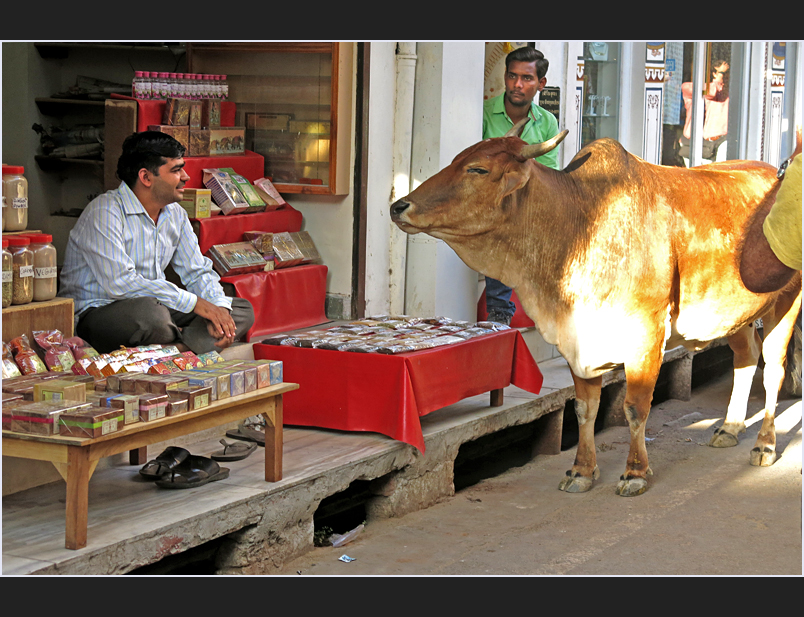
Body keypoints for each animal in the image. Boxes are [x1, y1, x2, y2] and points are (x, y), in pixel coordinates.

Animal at [390, 120, 796, 496]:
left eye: (477, 169)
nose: (398, 206)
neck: (579, 225)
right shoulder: (577, 337)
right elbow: (585, 408)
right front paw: (581, 471)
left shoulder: (647, 330)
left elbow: (635, 406)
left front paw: (634, 473)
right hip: (736, 315)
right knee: (746, 359)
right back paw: (729, 427)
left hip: (787, 304)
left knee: (773, 371)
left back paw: (764, 444)